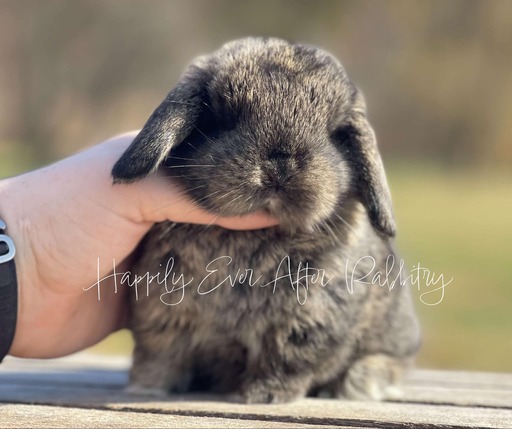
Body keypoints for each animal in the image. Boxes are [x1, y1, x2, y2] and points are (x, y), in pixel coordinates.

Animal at [111, 36, 420, 402]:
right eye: (223, 117)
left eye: (336, 134)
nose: (279, 163)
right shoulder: (160, 309)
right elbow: (160, 353)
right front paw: (147, 387)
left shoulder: (311, 315)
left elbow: (287, 358)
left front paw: (263, 395)